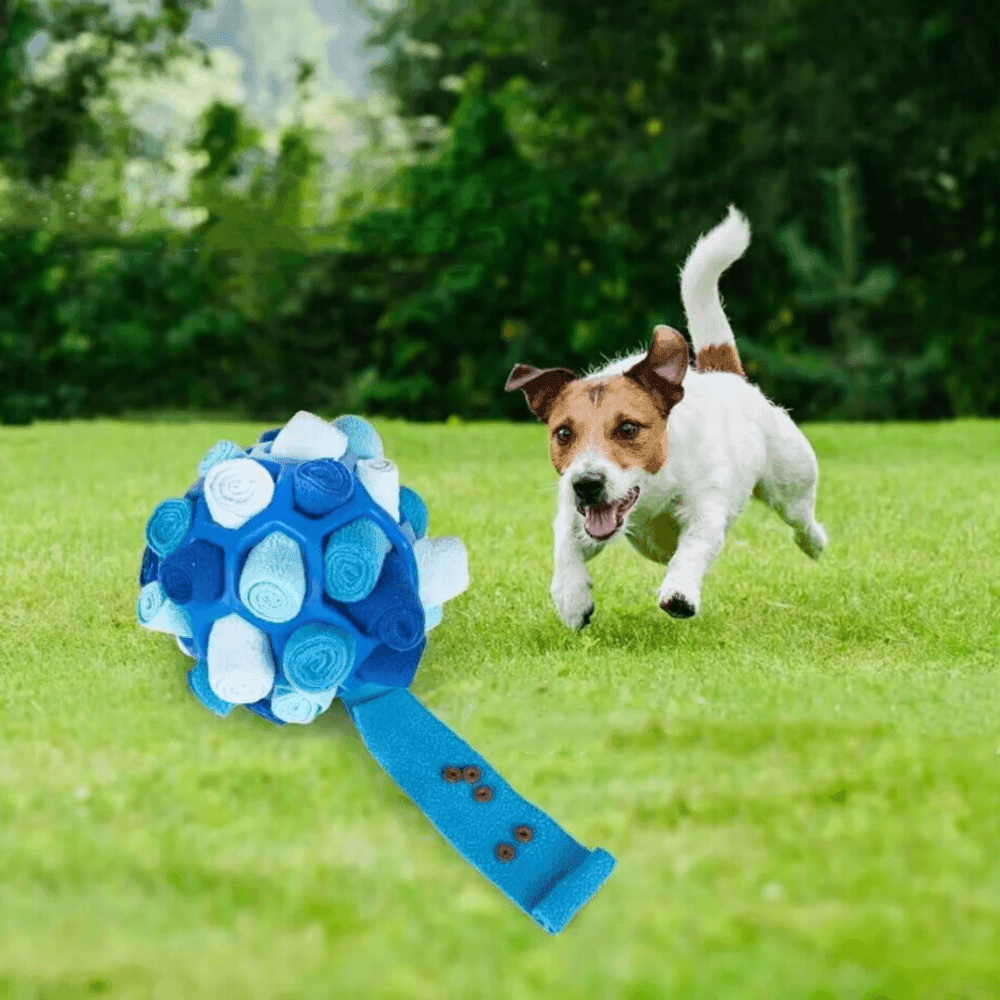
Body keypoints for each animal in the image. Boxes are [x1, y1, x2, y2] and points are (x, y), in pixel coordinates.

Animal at [508, 204, 828, 628]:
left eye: (628, 427)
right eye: (563, 433)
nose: (587, 484)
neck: (653, 490)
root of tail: (725, 374)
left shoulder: (705, 511)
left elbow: (692, 547)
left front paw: (679, 592)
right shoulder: (577, 516)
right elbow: (566, 545)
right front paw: (572, 598)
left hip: (792, 477)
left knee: (801, 517)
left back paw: (814, 541)